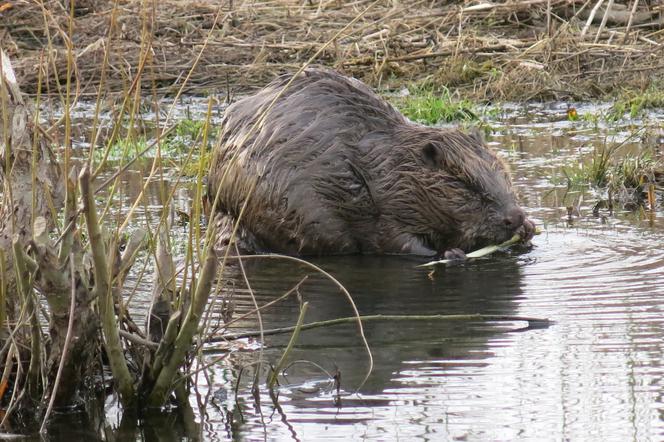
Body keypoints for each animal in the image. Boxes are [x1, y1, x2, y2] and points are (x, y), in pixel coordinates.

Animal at [208, 67, 536, 258]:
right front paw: (449, 254)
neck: (385, 164)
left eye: (505, 175)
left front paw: (529, 229)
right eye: (465, 184)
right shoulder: (380, 209)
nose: (514, 216)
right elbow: (392, 241)